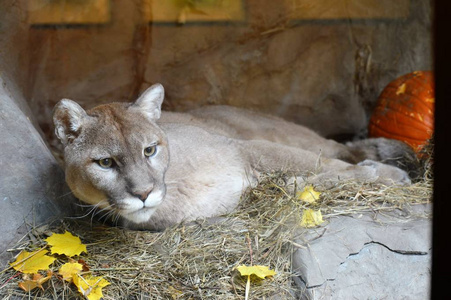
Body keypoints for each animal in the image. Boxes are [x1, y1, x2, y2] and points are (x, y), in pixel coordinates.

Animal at [53, 84, 416, 230]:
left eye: (149, 150)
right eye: (105, 163)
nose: (143, 193)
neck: (178, 184)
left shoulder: (245, 147)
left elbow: (319, 166)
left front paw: (386, 175)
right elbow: (298, 185)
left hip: (286, 133)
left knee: (334, 148)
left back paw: (392, 153)